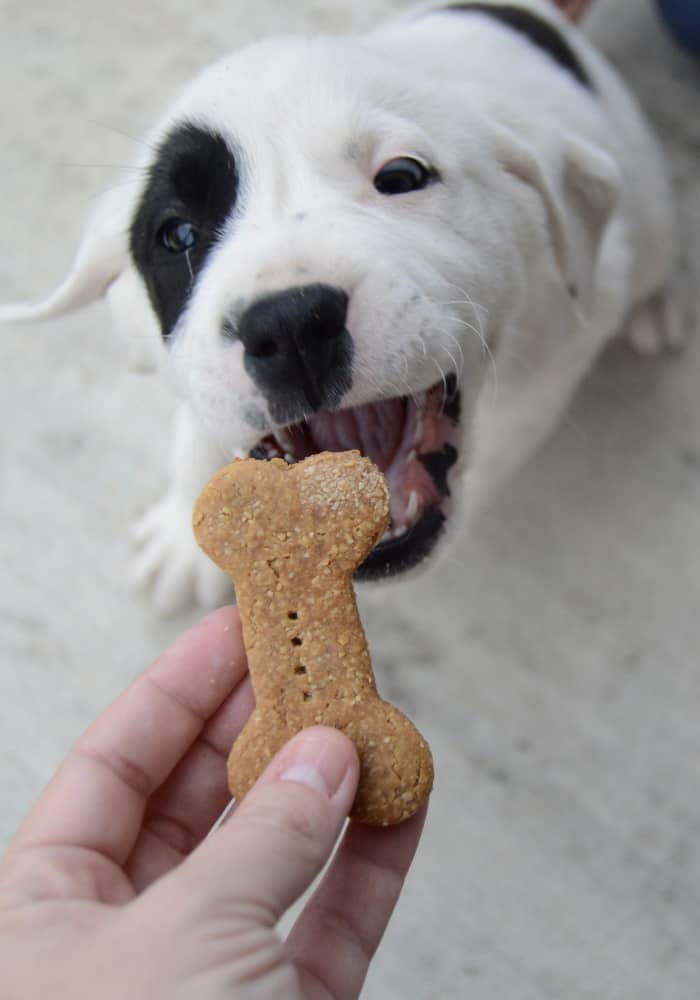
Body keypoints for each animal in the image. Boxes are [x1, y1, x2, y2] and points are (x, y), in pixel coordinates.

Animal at [0, 0, 680, 612]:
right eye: (178, 235)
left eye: (402, 176)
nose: (290, 326)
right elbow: (199, 425)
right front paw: (182, 538)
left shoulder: (564, 341)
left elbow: (508, 436)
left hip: (643, 200)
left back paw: (656, 303)